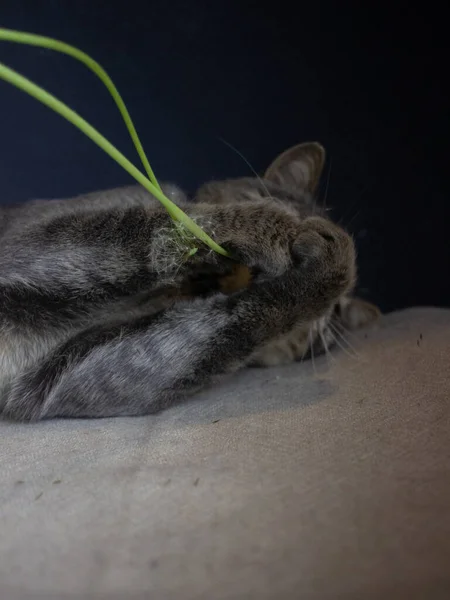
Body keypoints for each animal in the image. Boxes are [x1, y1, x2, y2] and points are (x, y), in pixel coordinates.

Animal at [0, 141, 380, 422]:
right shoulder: (29, 244)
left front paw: (337, 261)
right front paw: (280, 230)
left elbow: (242, 324)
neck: (171, 293)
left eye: (336, 314)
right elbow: (153, 228)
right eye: (292, 209)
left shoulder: (71, 377)